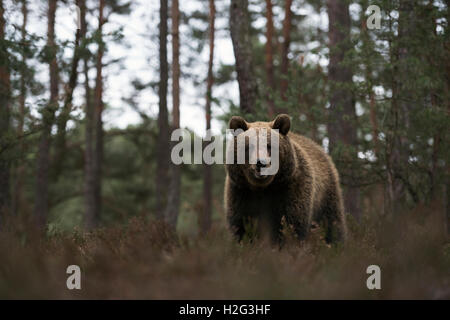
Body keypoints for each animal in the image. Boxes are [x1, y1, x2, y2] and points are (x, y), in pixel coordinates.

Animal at [225, 114, 348, 244]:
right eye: (250, 146)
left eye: (269, 145)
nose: (261, 163)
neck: (264, 188)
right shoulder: (241, 191)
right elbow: (239, 225)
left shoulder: (291, 187)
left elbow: (294, 222)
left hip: (325, 195)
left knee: (333, 223)